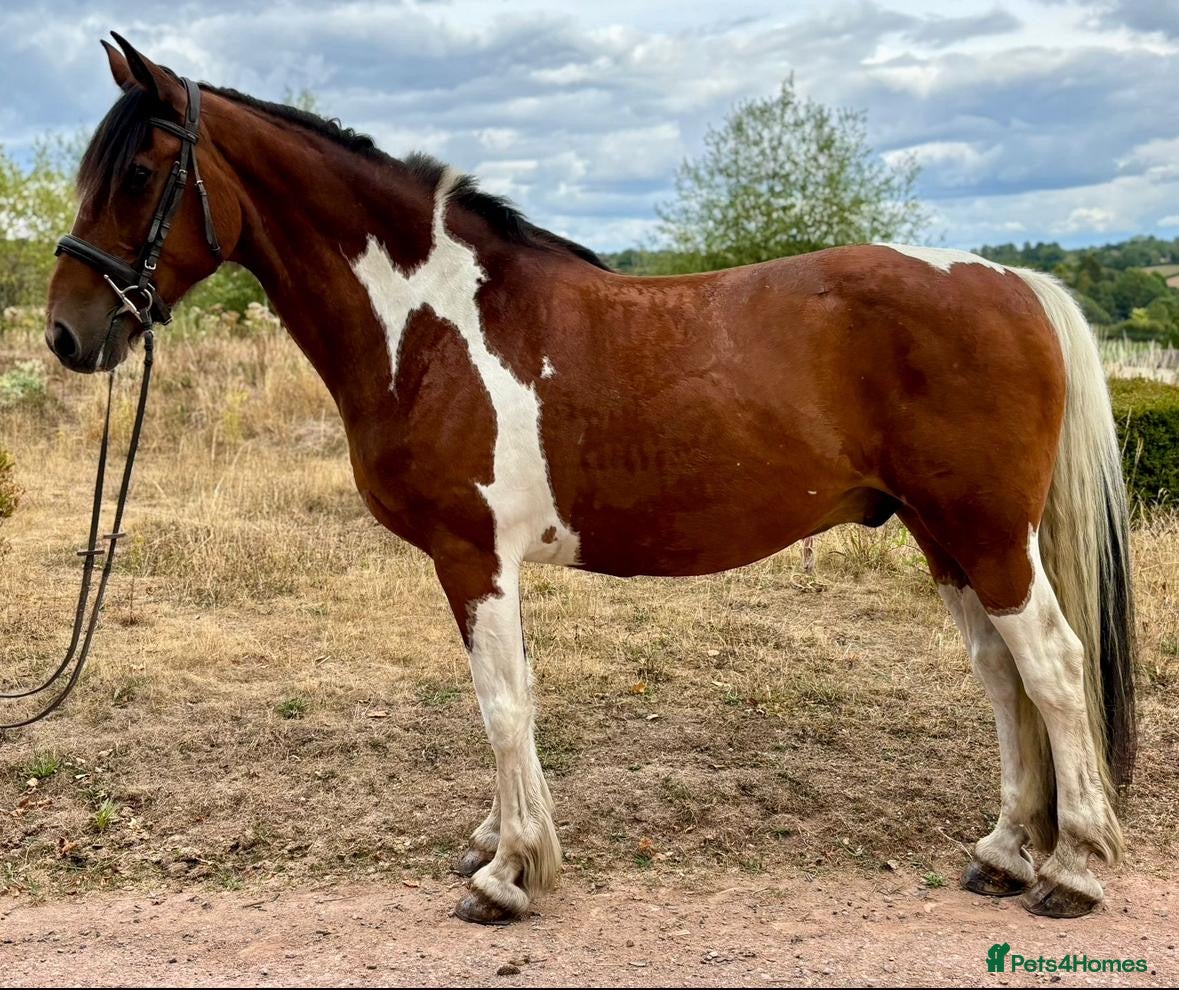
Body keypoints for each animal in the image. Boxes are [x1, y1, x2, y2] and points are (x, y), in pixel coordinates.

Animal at [45, 34, 1135, 924]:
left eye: (137, 172)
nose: (66, 333)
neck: (431, 325)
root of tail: (1009, 281)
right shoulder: (482, 565)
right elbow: (510, 697)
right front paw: (499, 845)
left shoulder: (471, 556)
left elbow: (499, 703)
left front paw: (509, 877)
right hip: (939, 532)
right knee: (1000, 676)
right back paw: (1003, 853)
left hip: (988, 533)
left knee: (1052, 666)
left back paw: (1072, 871)